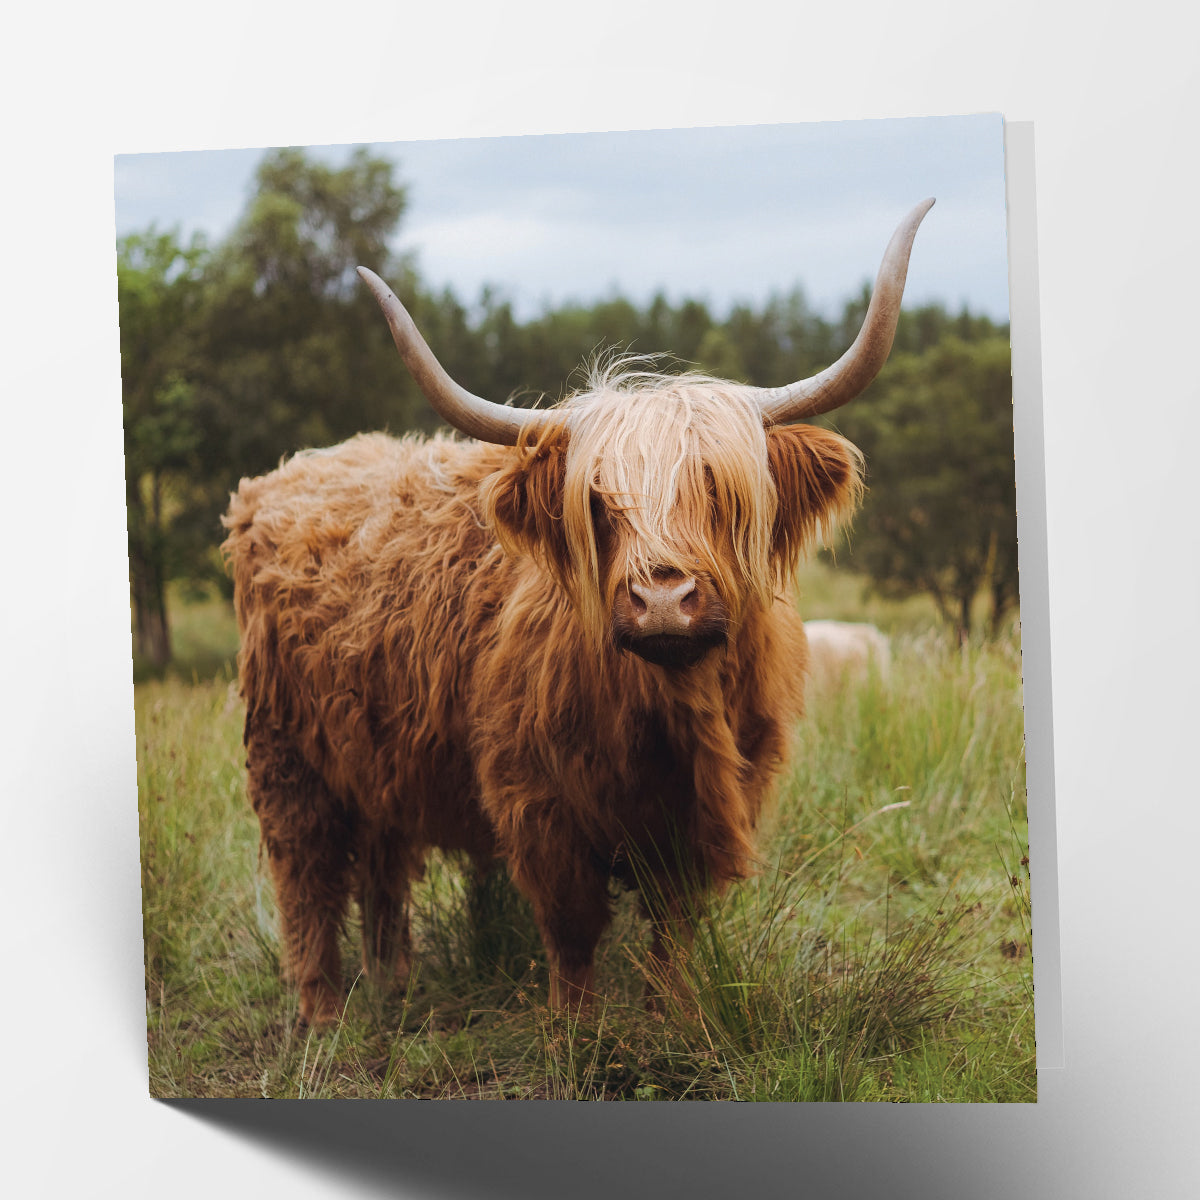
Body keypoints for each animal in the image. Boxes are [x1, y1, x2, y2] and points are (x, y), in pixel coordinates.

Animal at [221, 199, 934, 1027]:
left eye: (718, 490)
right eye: (597, 502)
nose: (663, 599)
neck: (670, 717)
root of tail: (288, 473)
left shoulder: (714, 807)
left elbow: (674, 928)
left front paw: (674, 1016)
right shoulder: (538, 803)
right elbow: (573, 927)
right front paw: (575, 1031)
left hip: (374, 754)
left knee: (382, 863)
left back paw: (393, 983)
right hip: (287, 755)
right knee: (305, 874)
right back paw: (323, 1015)